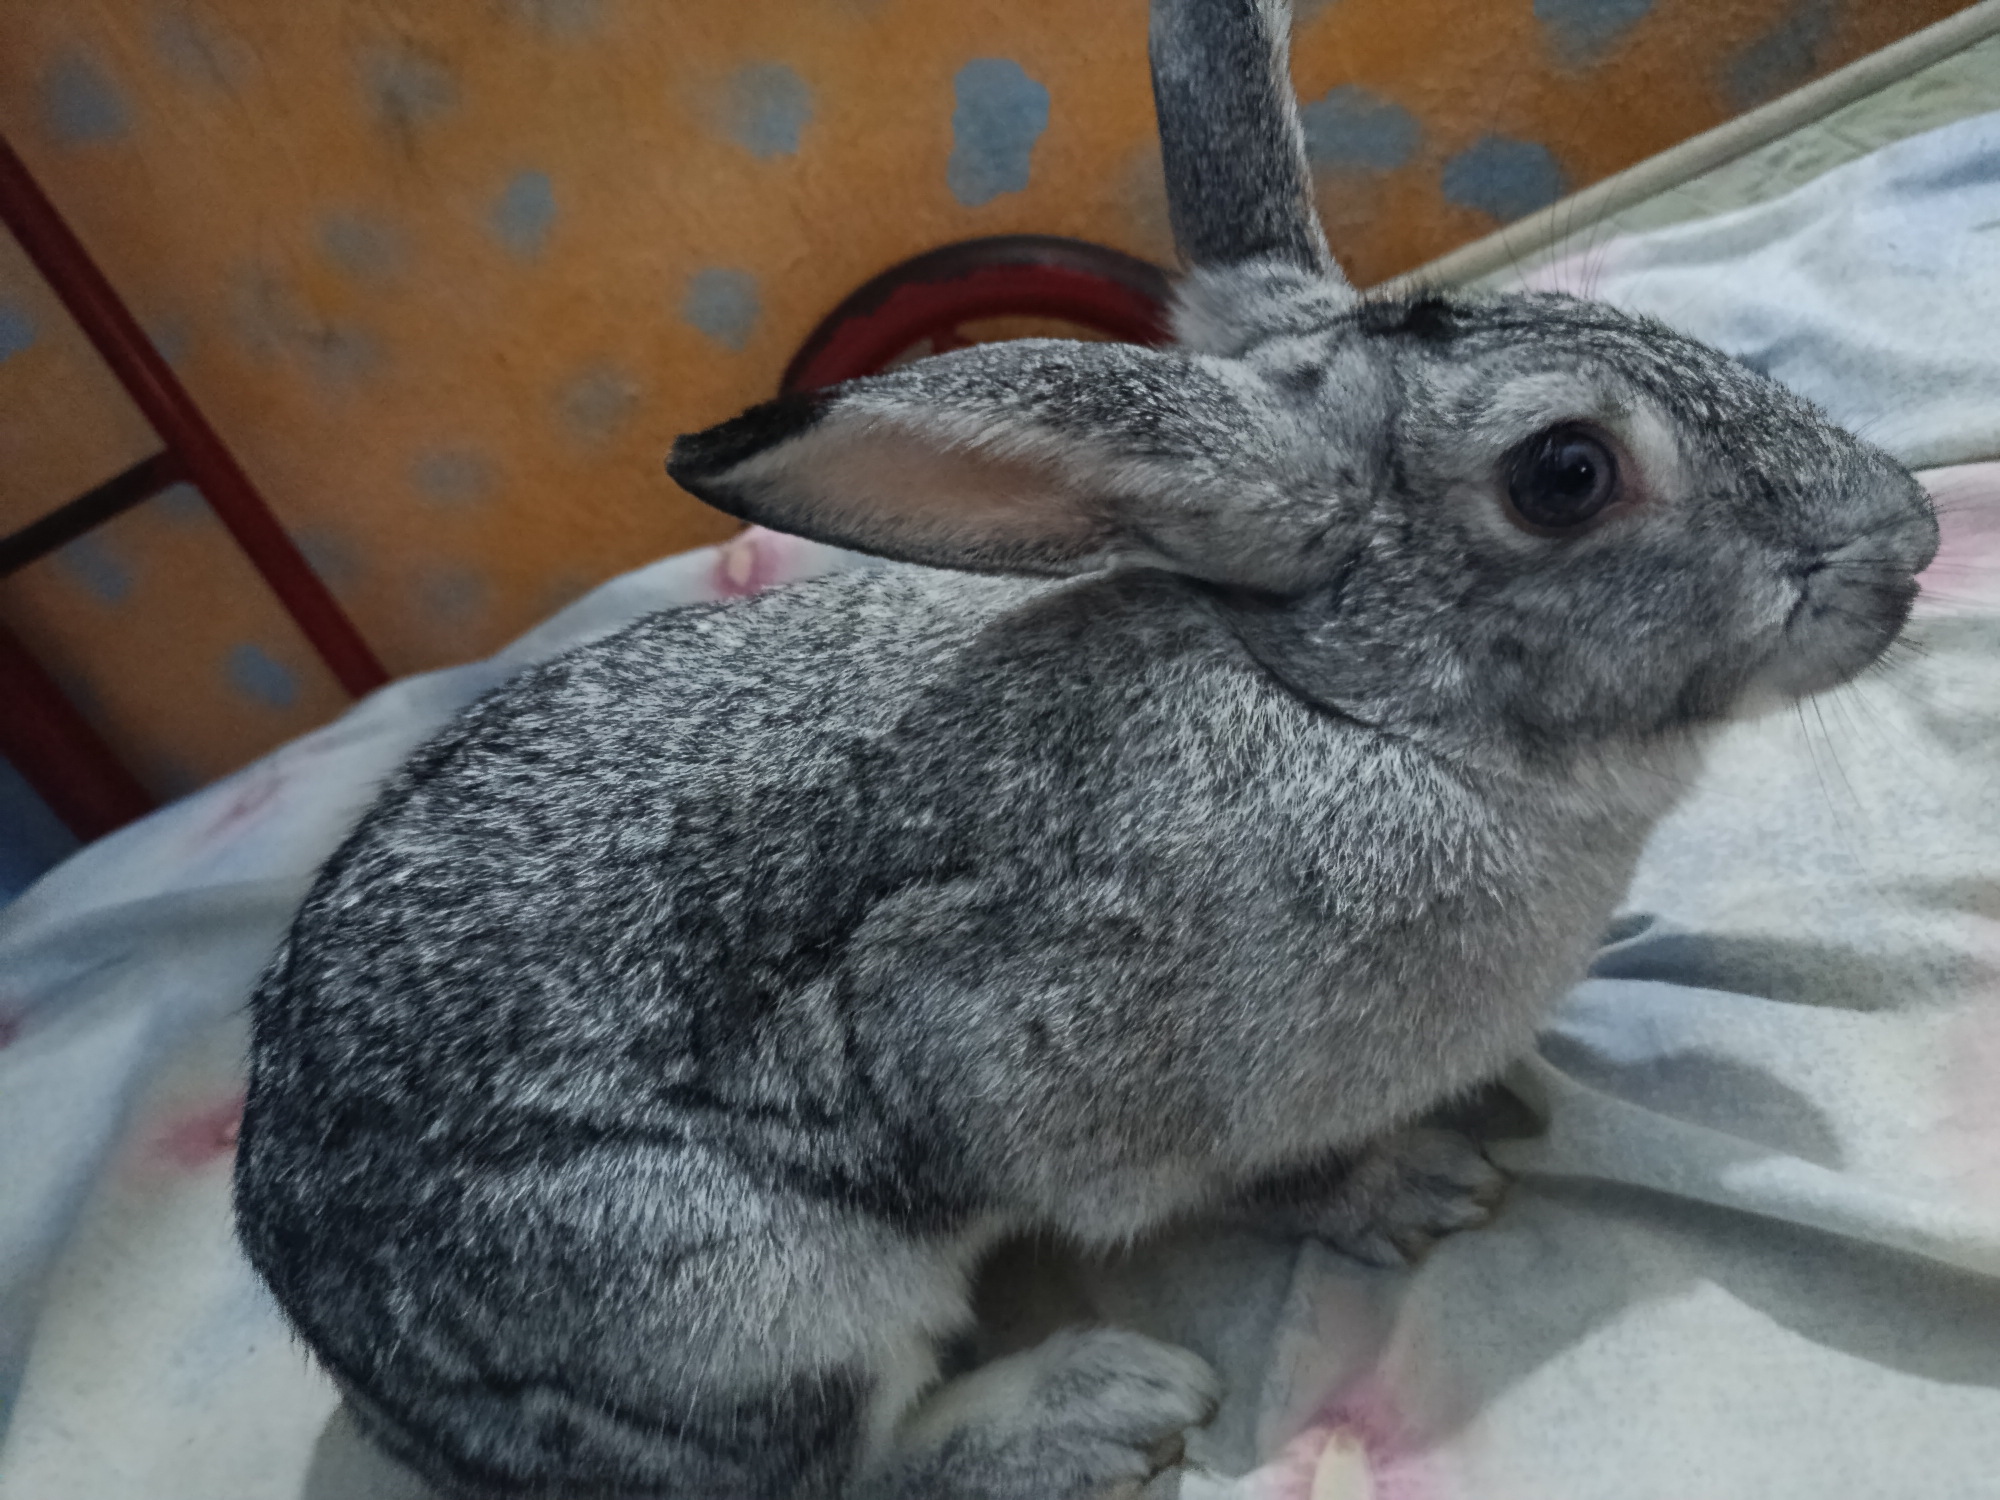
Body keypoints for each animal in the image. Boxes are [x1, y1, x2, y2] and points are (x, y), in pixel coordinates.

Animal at [233, 0, 1939, 1496]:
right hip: (735, 1300)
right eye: (1566, 473)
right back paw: (1091, 1410)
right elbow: (1248, 1174)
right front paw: (1414, 1183)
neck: (1352, 703)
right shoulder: (1034, 1047)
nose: (1911, 540)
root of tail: (365, 1371)